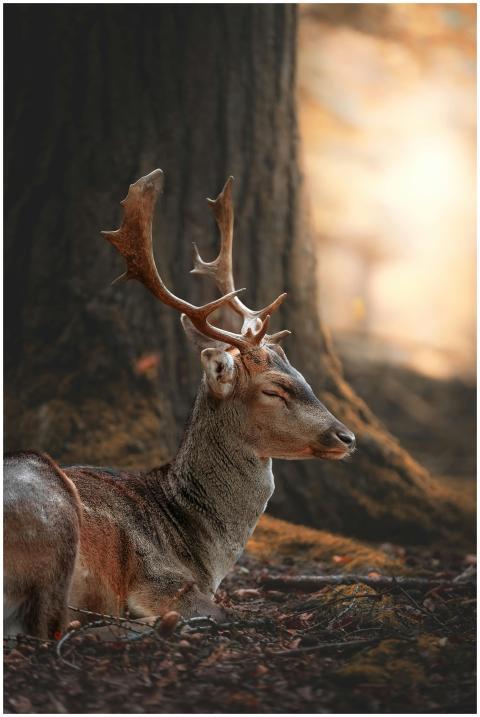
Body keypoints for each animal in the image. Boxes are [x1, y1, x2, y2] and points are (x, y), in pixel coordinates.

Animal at [3, 169, 355, 639]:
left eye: (303, 377)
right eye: (274, 389)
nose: (347, 437)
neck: (202, 553)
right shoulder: (160, 578)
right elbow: (220, 610)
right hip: (54, 514)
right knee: (50, 624)